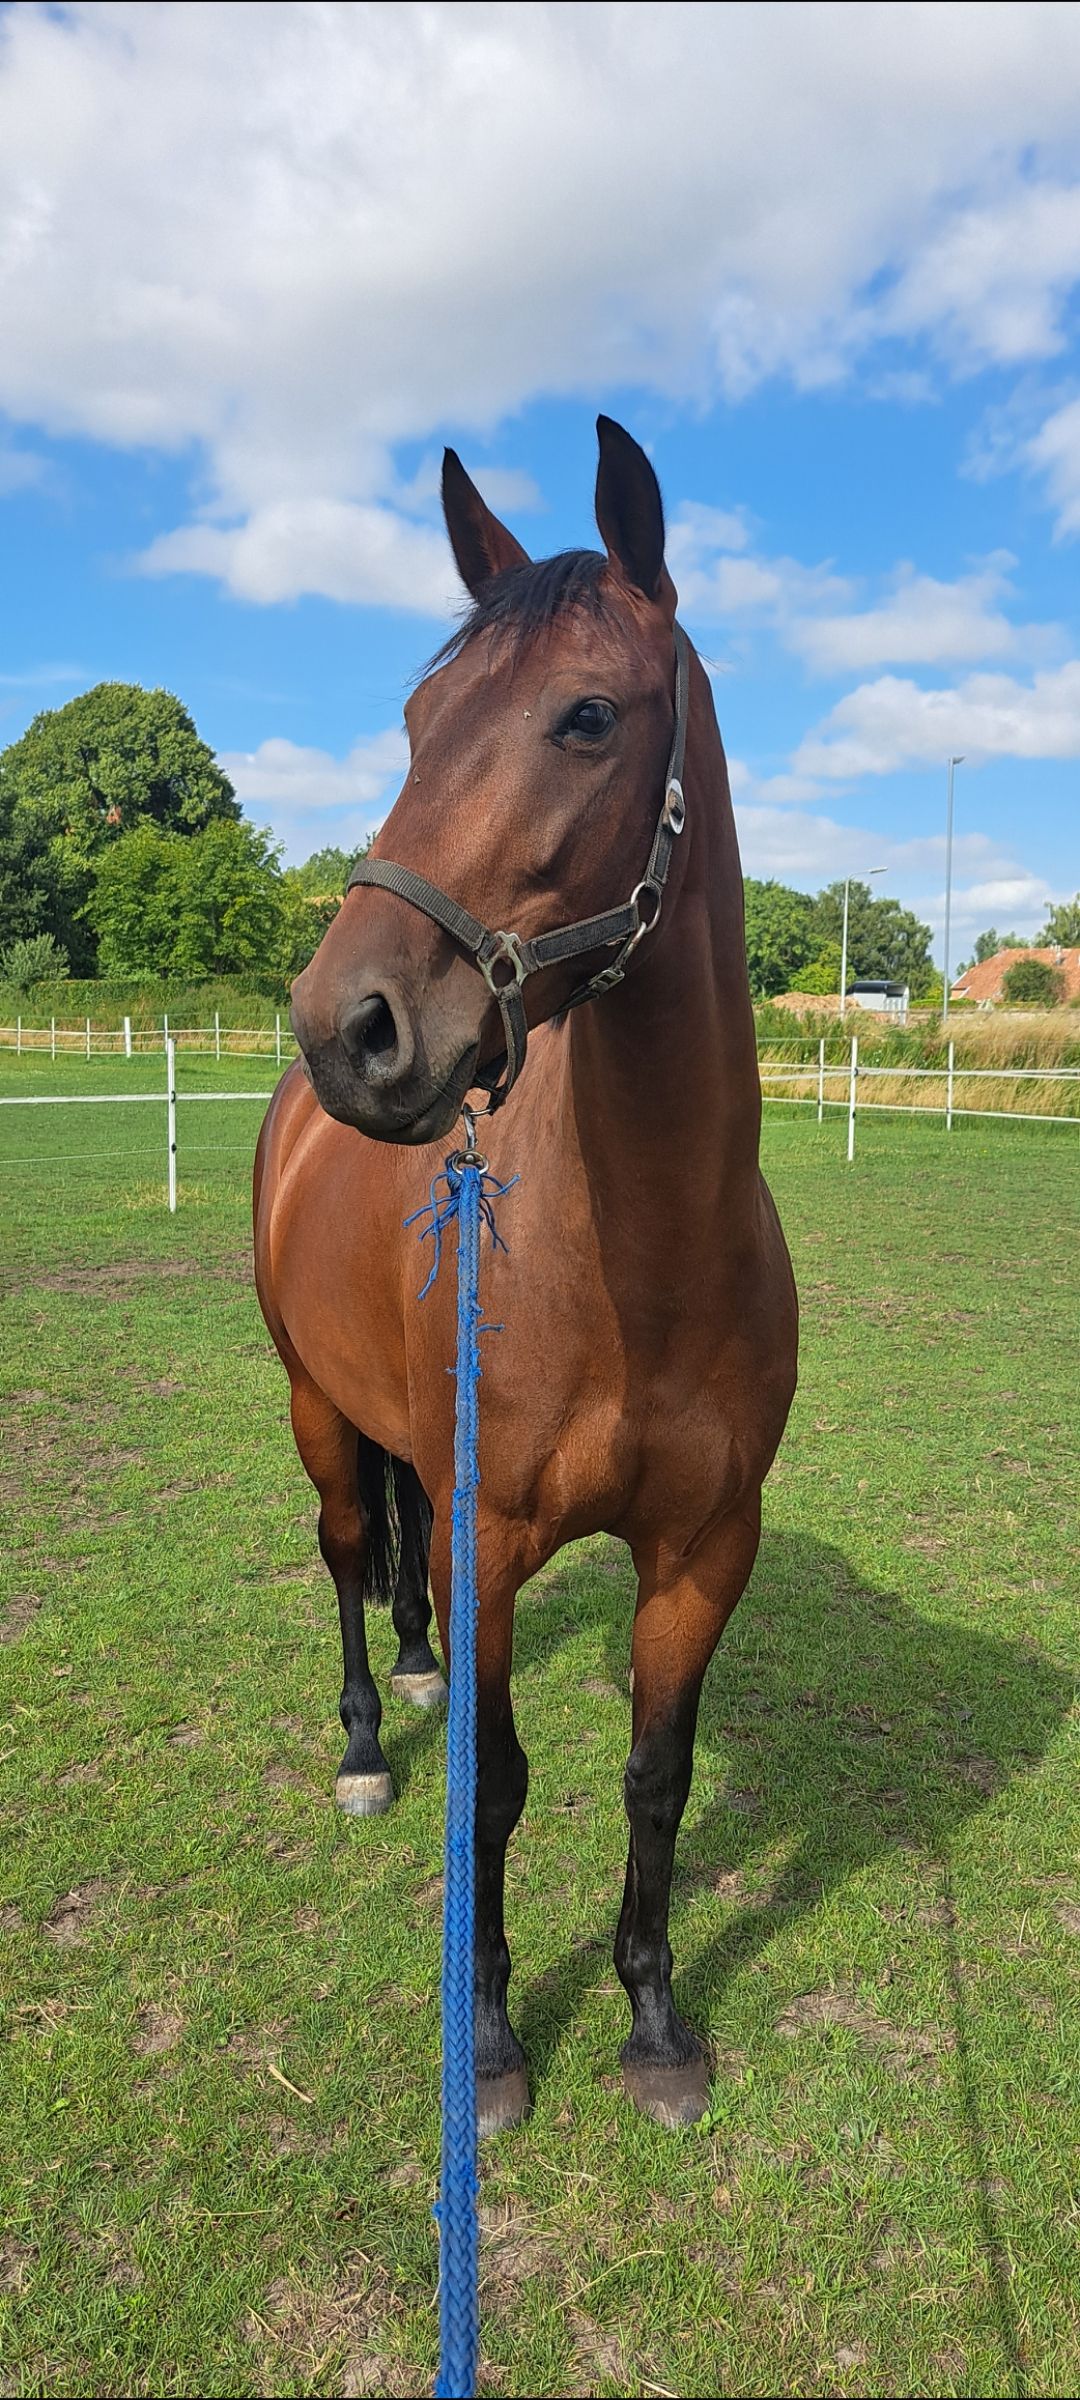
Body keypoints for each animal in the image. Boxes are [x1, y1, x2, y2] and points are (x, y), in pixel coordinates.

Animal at [253, 417, 798, 2132]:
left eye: (589, 715)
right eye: (419, 719)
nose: (349, 1023)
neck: (644, 1265)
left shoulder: (703, 1552)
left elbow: (656, 1778)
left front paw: (656, 2025)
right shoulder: (489, 1533)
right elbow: (494, 1788)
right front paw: (486, 2047)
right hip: (314, 1409)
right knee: (345, 1550)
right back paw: (372, 1739)